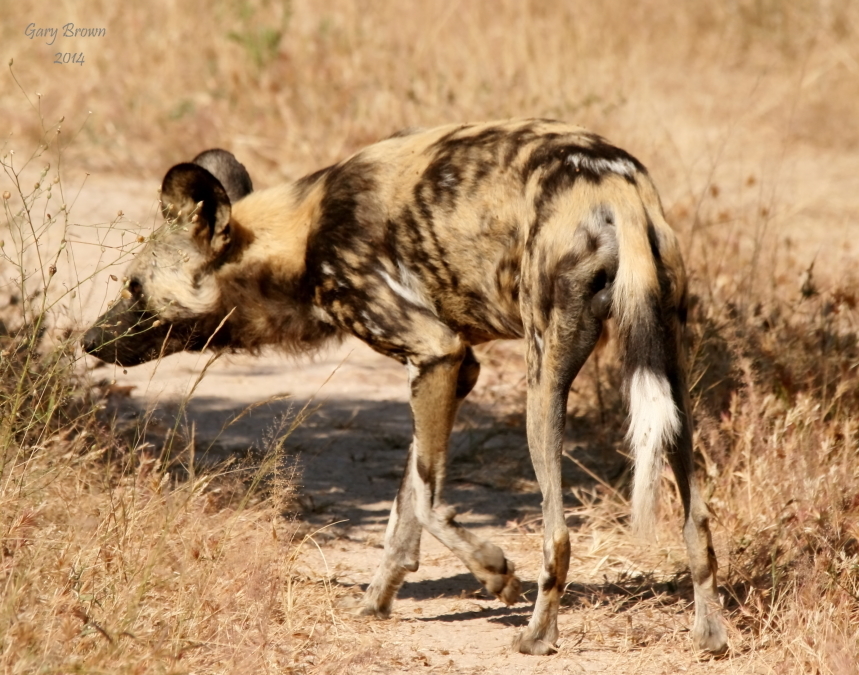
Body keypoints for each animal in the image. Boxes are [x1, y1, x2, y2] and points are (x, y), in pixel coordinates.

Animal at [80, 120, 728, 656]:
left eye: (134, 288)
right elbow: (407, 503)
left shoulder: (436, 353)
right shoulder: (453, 368)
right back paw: (710, 635)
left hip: (542, 385)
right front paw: (377, 599)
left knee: (558, 534)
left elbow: (425, 500)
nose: (87, 341)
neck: (301, 239)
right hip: (671, 378)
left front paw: (493, 571)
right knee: (697, 520)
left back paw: (537, 637)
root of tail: (613, 188)